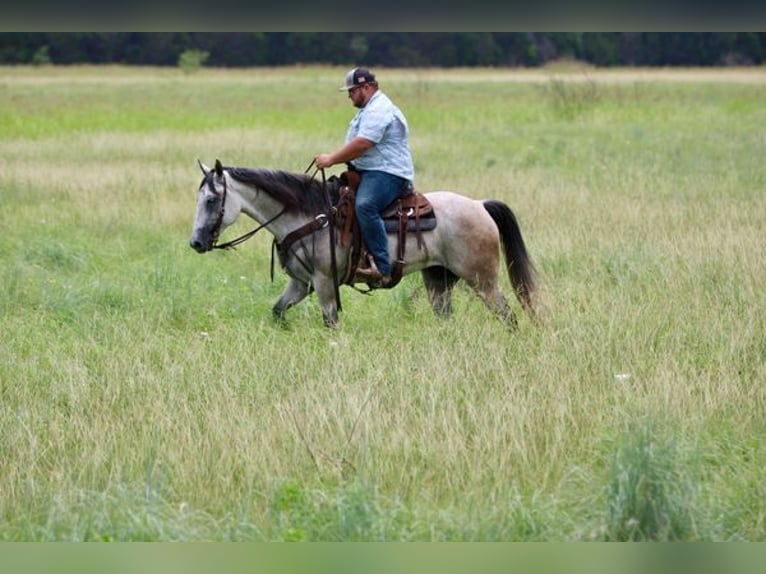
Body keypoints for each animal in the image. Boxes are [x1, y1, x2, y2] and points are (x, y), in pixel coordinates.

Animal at [189, 159, 537, 328]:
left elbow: (331, 322)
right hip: (438, 280)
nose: (196, 242)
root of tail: (480, 205)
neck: (309, 215)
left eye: (211, 200)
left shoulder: (325, 281)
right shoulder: (301, 283)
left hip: (482, 280)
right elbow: (277, 312)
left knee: (509, 316)